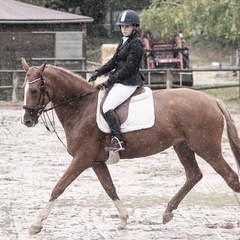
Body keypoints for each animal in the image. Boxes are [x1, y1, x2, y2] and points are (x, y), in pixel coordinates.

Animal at [21, 56, 240, 234]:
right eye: (24, 90)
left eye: (34, 90)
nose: (27, 121)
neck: (82, 108)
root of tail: (213, 100)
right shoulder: (95, 161)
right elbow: (110, 188)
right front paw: (124, 220)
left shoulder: (82, 158)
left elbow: (59, 187)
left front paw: (36, 224)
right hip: (183, 146)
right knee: (194, 175)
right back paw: (167, 212)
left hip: (206, 148)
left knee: (231, 178)